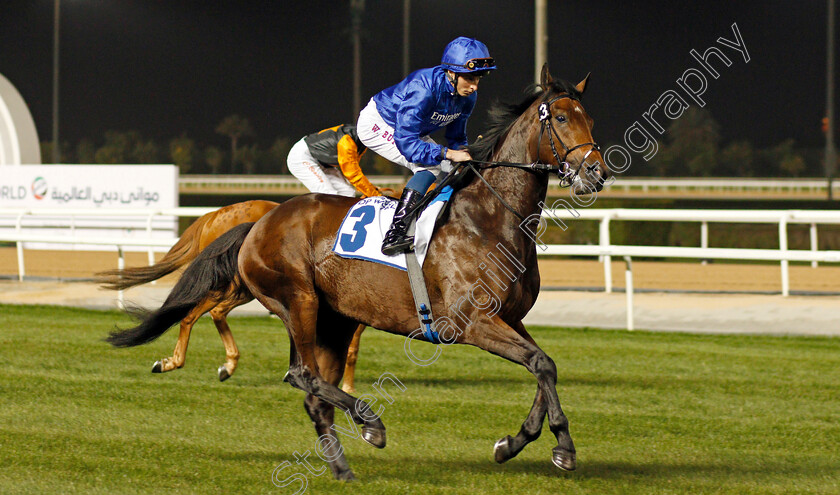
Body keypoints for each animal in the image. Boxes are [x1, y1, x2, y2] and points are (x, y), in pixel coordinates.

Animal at [97, 200, 366, 390]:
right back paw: (181, 362)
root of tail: (212, 216)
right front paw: (347, 386)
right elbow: (350, 347)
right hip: (236, 281)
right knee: (199, 313)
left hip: (245, 286)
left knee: (210, 312)